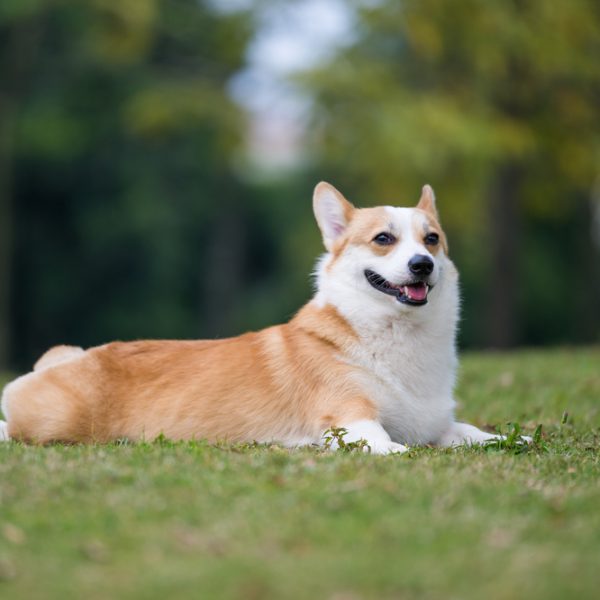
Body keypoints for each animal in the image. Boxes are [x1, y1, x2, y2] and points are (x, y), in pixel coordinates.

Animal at [2, 183, 512, 450]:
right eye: (383, 239)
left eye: (432, 240)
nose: (422, 265)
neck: (395, 338)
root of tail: (70, 358)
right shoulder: (352, 420)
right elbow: (392, 447)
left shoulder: (437, 426)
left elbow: (475, 434)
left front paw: (512, 441)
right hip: (55, 424)